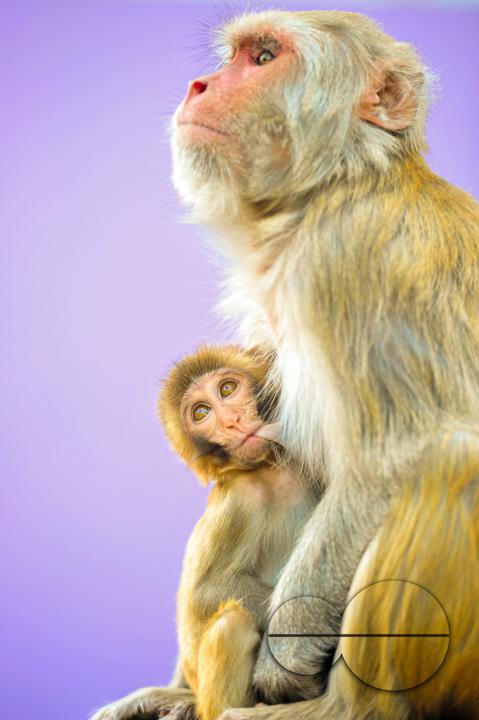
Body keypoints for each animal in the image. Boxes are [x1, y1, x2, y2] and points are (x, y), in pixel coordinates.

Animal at [89, 345, 319, 720]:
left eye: (227, 389)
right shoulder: (237, 502)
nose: (231, 421)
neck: (273, 470)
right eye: (201, 413)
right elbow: (205, 593)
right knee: (232, 624)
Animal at [166, 9, 479, 720]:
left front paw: (284, 653)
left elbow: (392, 454)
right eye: (232, 57)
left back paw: (346, 707)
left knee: (450, 458)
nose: (199, 85)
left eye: (263, 57)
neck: (343, 185)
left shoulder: (346, 259)